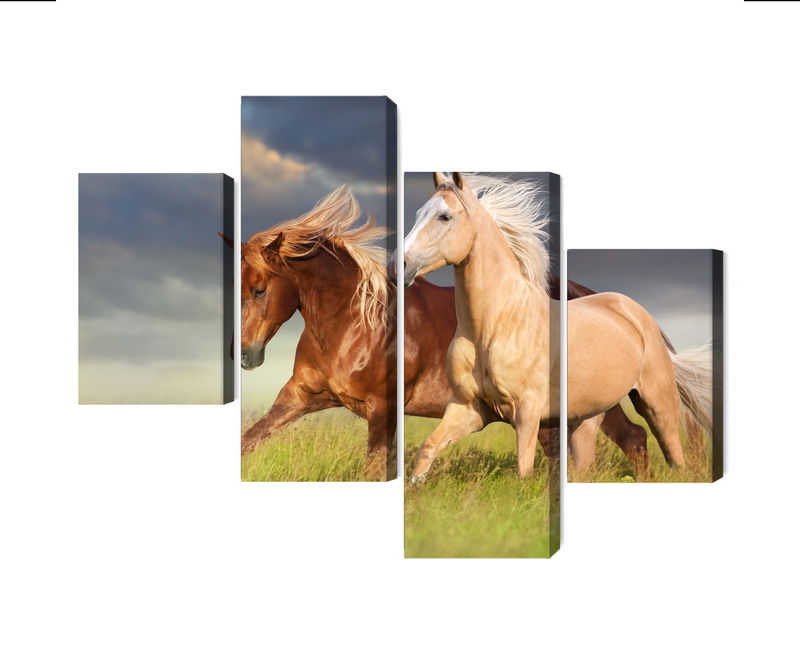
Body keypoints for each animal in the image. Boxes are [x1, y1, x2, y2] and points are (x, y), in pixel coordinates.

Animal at [400, 172, 712, 482]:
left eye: (444, 216)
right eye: (417, 213)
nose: (399, 265)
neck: (494, 326)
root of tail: (639, 315)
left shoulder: (526, 411)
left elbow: (524, 468)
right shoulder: (468, 408)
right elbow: (428, 448)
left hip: (657, 402)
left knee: (671, 452)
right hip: (586, 417)